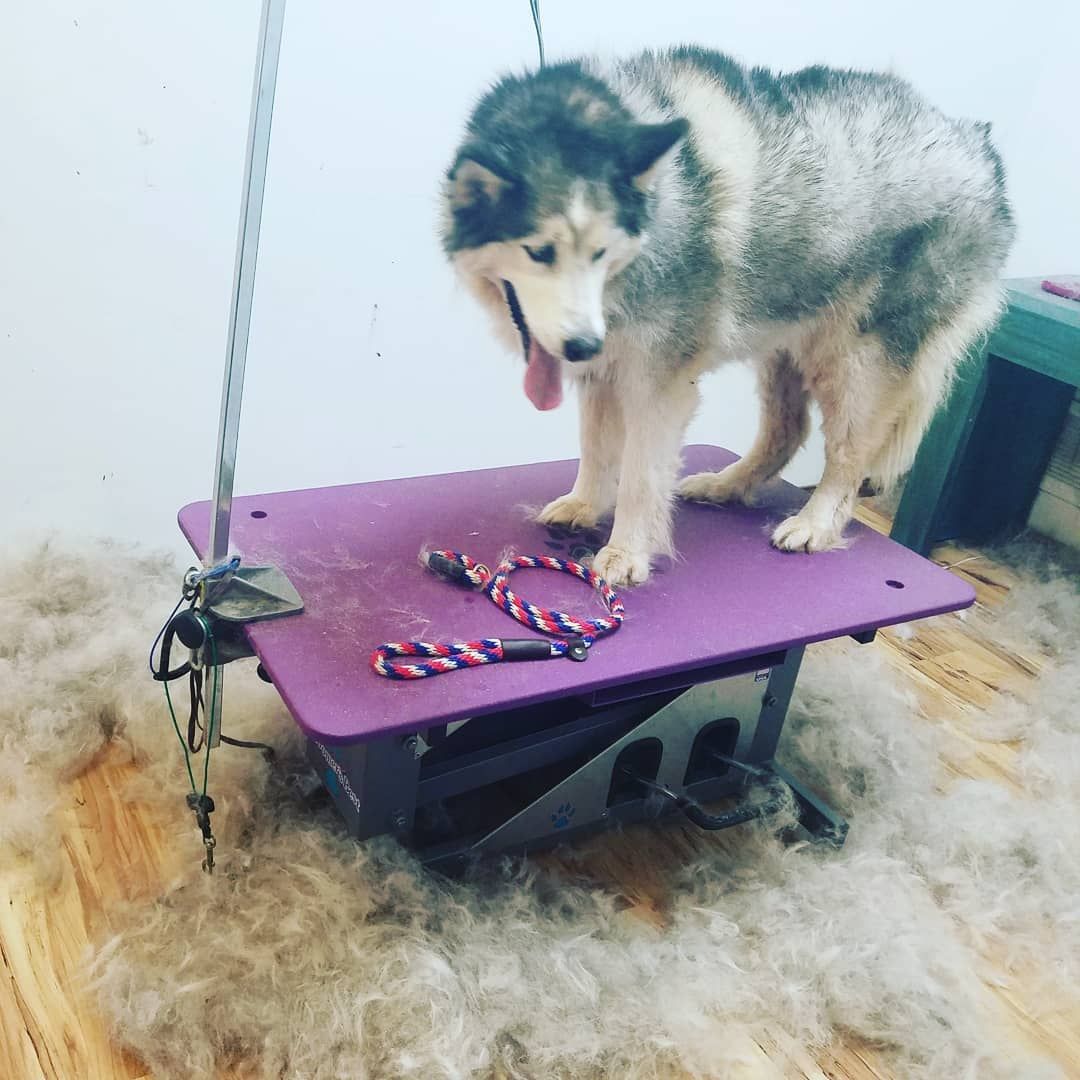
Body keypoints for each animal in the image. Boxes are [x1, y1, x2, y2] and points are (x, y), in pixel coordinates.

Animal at [442, 48, 1014, 586]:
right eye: (539, 252)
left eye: (601, 253)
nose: (583, 345)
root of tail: (979, 146)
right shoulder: (606, 370)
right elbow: (596, 447)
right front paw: (585, 504)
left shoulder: (656, 384)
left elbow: (641, 475)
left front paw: (627, 552)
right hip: (785, 346)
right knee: (787, 431)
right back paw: (725, 485)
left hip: (857, 360)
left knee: (848, 458)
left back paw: (815, 523)